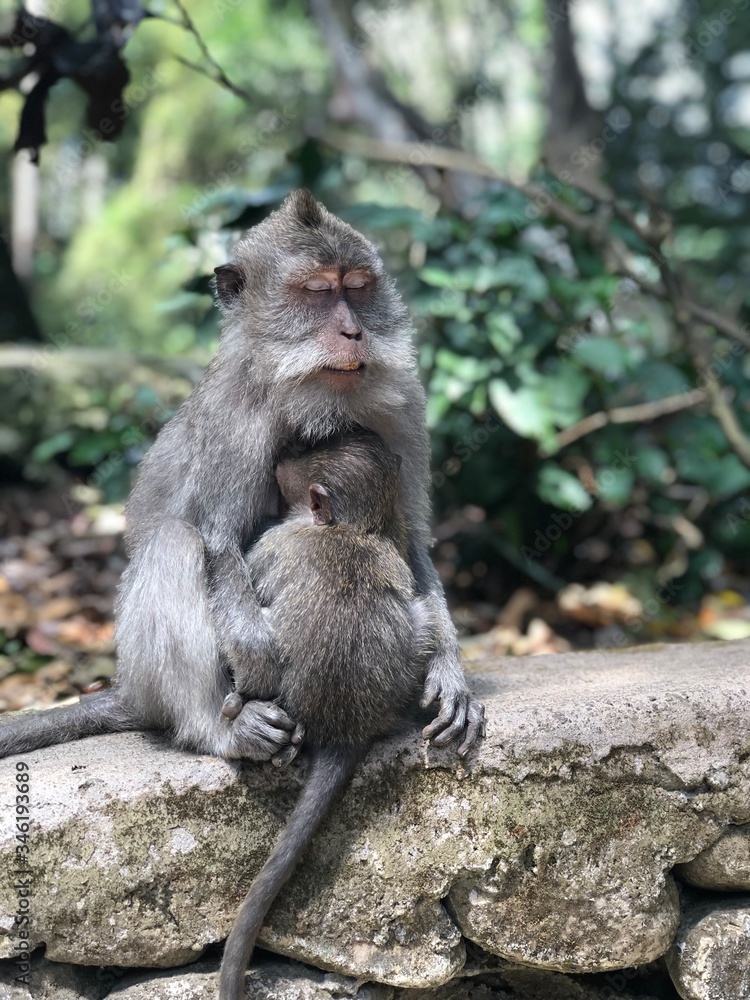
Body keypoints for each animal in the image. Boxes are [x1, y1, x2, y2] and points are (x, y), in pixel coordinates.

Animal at [0, 189, 484, 764]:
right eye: (317, 291)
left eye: (358, 287)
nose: (354, 331)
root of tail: (131, 692)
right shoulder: (234, 414)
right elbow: (217, 537)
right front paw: (259, 659)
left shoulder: (403, 402)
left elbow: (410, 537)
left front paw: (449, 668)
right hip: (144, 673)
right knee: (175, 540)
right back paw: (222, 730)